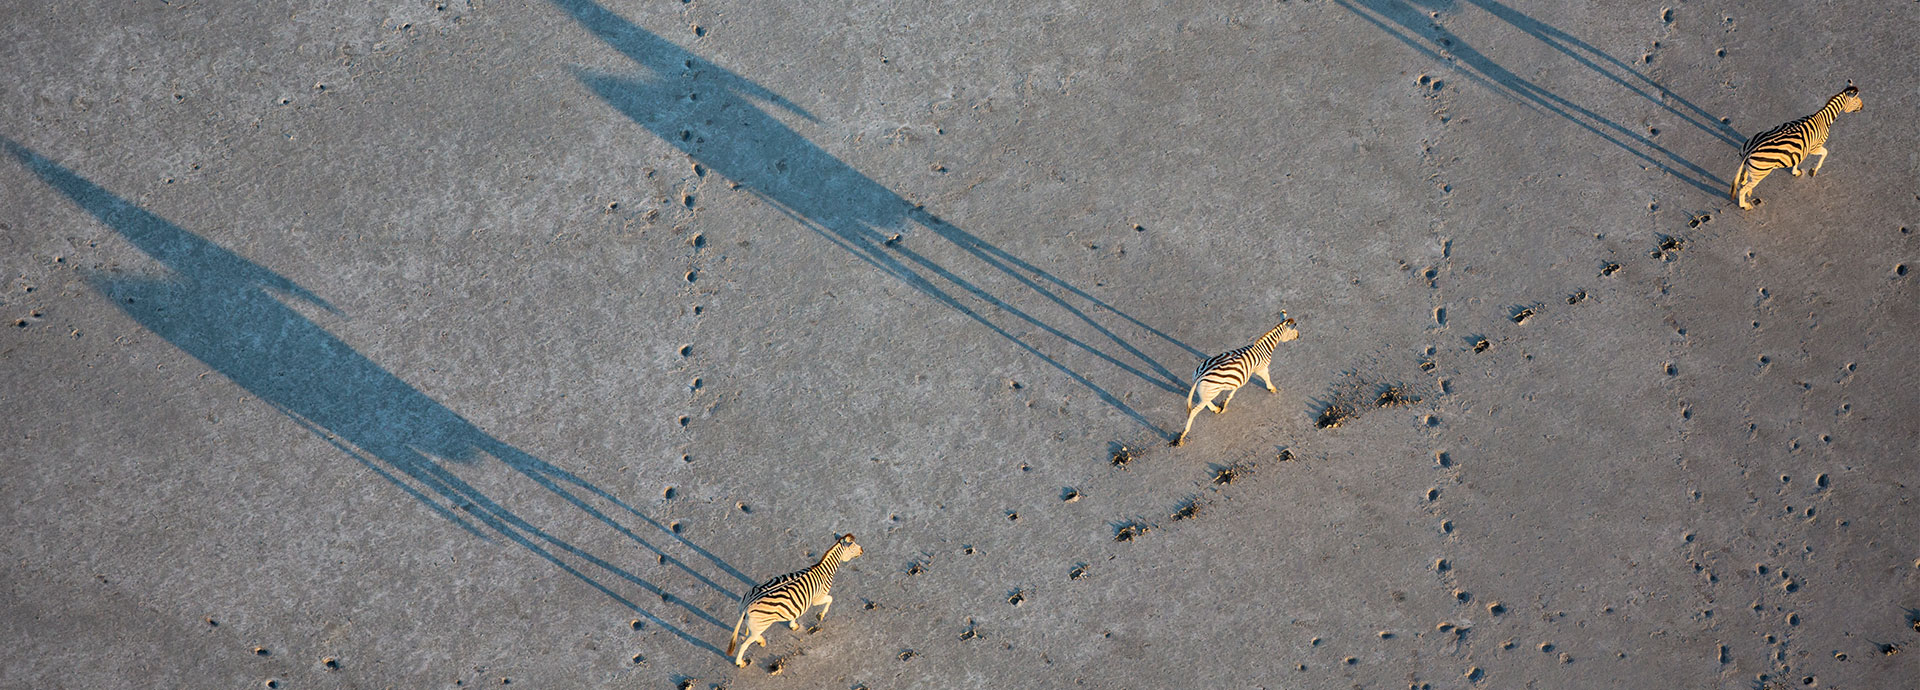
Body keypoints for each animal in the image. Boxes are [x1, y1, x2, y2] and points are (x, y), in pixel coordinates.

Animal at [728, 533, 863, 667]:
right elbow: (830, 599)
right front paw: (821, 615)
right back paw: (740, 662)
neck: (824, 571)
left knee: (752, 635)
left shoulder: (796, 604)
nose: (862, 550)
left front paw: (793, 625)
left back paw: (761, 641)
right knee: (744, 645)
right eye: (853, 547)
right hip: (759, 625)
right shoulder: (818, 598)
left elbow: (794, 613)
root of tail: (747, 606)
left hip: (754, 624)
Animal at [1173, 316, 1300, 446]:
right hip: (1210, 391)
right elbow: (1267, 378)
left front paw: (1224, 403)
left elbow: (1233, 390)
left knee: (1205, 401)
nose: (1298, 336)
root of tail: (1201, 374)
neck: (1263, 348)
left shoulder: (1239, 377)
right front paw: (1272, 389)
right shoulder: (1261, 369)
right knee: (1193, 412)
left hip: (1207, 391)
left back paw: (1216, 409)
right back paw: (1182, 436)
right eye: (1294, 329)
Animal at [1731, 82, 1863, 210]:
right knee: (1742, 189)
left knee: (1743, 180)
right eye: (1856, 101)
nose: (1862, 107)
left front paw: (1796, 172)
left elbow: (1797, 159)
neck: (1823, 118)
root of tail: (1750, 150)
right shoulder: (1814, 147)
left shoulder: (1801, 149)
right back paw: (1744, 205)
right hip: (1760, 173)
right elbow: (1825, 153)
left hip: (1751, 167)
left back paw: (1747, 190)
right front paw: (1813, 171)